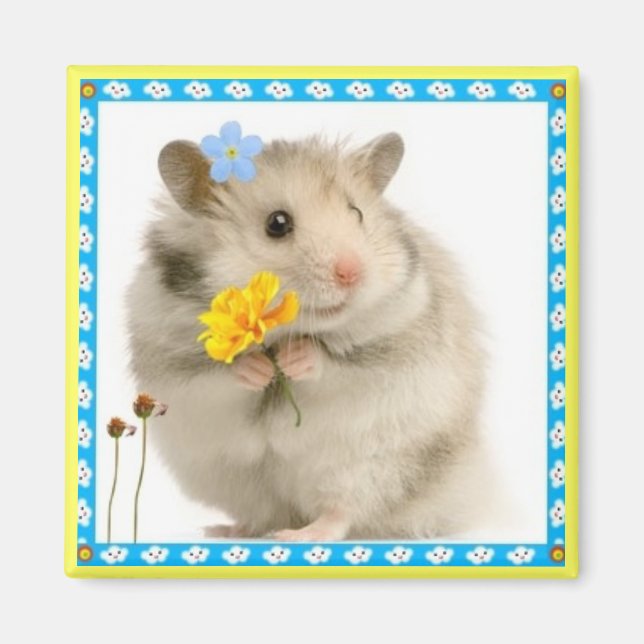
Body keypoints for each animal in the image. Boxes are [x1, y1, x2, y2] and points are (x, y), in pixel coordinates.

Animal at [126, 132, 489, 541]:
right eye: (277, 223)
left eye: (357, 213)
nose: (352, 273)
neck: (287, 331)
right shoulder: (174, 367)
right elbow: (219, 377)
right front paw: (259, 369)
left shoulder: (393, 347)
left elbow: (335, 367)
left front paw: (293, 359)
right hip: (233, 480)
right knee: (264, 513)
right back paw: (226, 529)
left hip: (372, 468)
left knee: (342, 512)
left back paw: (298, 535)